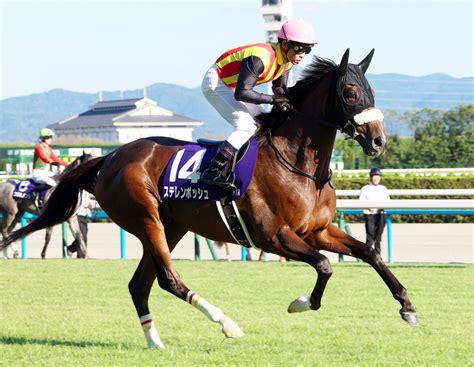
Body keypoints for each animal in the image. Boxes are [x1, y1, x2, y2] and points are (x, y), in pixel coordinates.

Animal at [0, 49, 418, 350]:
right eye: (350, 92)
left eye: (372, 92)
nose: (379, 141)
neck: (297, 165)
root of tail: (111, 157)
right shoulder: (273, 236)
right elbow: (325, 266)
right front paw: (300, 303)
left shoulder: (317, 229)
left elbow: (370, 253)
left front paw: (408, 307)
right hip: (146, 218)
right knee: (168, 279)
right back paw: (227, 323)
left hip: (172, 226)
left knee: (140, 284)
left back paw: (154, 342)